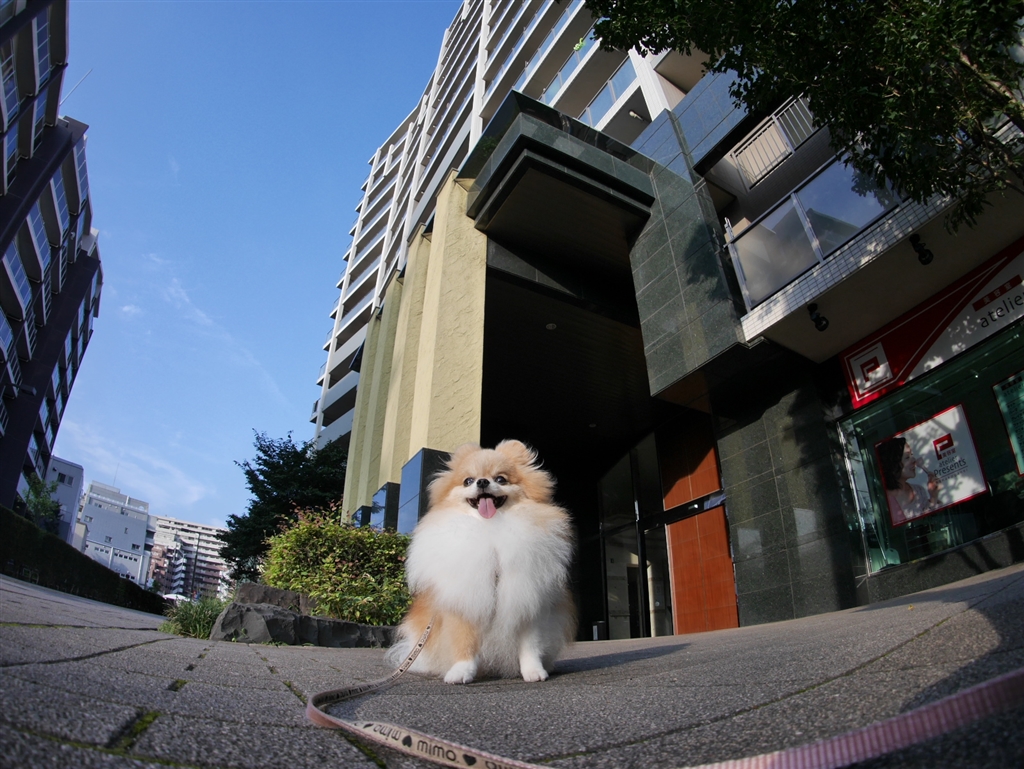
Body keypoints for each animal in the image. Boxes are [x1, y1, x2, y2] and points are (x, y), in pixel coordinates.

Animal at [387, 440, 576, 684]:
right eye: (468, 480)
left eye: (501, 479)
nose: (483, 481)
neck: (490, 528)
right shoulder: (464, 601)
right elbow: (464, 642)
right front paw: (461, 672)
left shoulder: (527, 598)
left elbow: (530, 645)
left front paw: (534, 671)